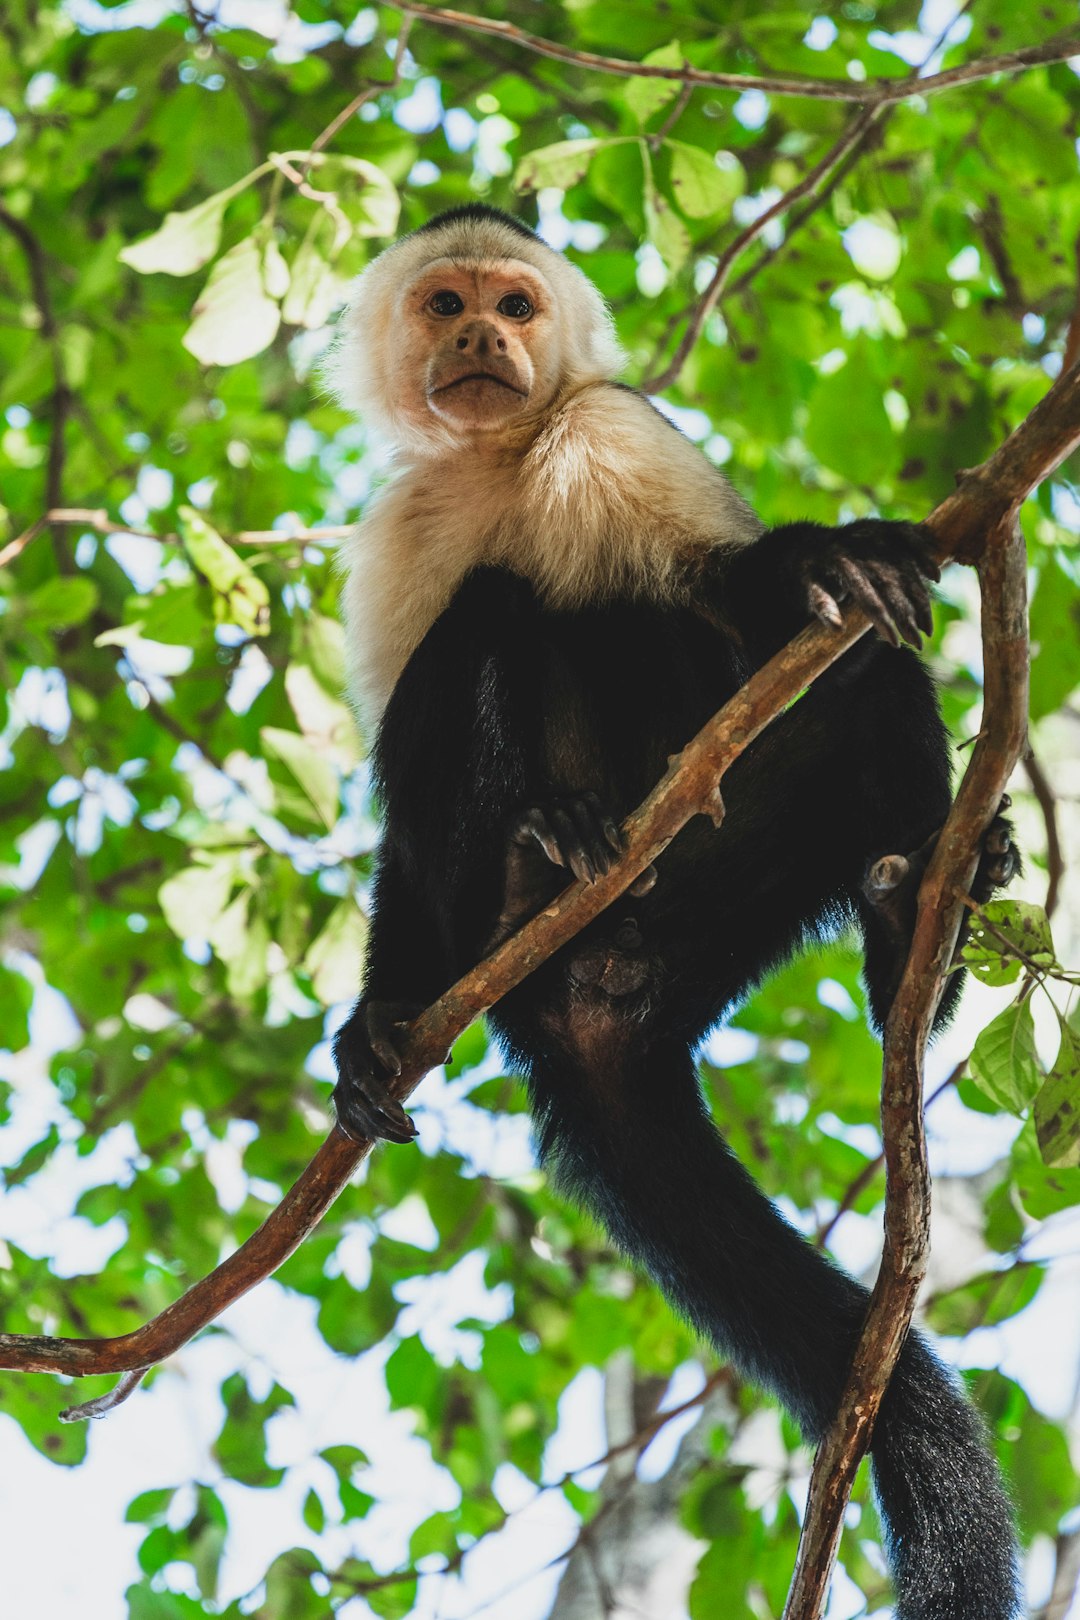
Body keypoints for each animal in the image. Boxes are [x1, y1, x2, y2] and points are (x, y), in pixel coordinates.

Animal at [327, 208, 1023, 1613]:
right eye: (444, 305)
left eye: (517, 306)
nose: (483, 343)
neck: (499, 460)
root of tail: (596, 1002)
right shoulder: (397, 531)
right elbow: (401, 826)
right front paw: (375, 1019)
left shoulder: (612, 428)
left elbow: (732, 591)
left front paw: (825, 561)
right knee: (486, 622)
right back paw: (534, 862)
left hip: (718, 900)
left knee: (847, 679)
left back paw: (912, 934)